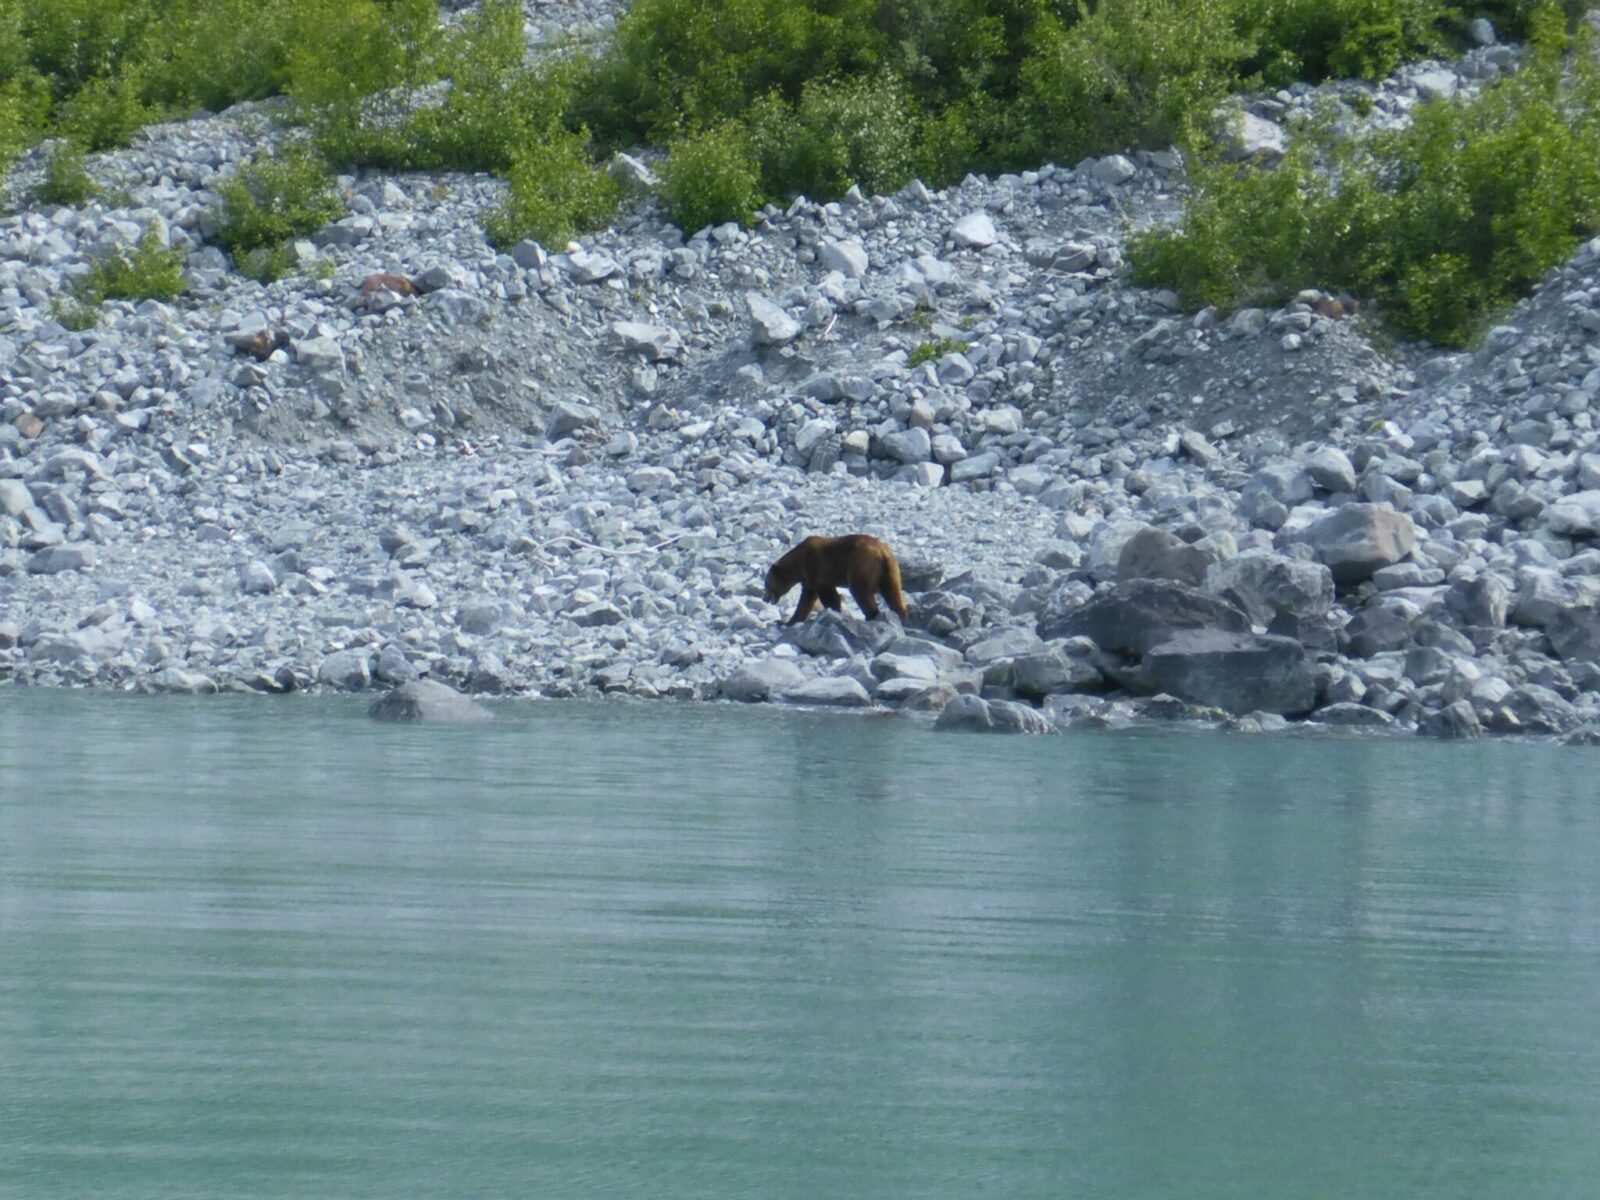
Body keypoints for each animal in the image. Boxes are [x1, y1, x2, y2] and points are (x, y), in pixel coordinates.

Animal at [764, 534, 915, 630]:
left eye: (766, 585)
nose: (765, 598)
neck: (797, 565)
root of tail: (882, 552)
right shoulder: (808, 579)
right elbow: (806, 600)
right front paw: (786, 621)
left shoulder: (816, 568)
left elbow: (827, 595)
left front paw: (833, 612)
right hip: (891, 571)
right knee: (893, 593)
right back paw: (903, 617)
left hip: (861, 565)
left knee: (860, 591)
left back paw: (870, 616)